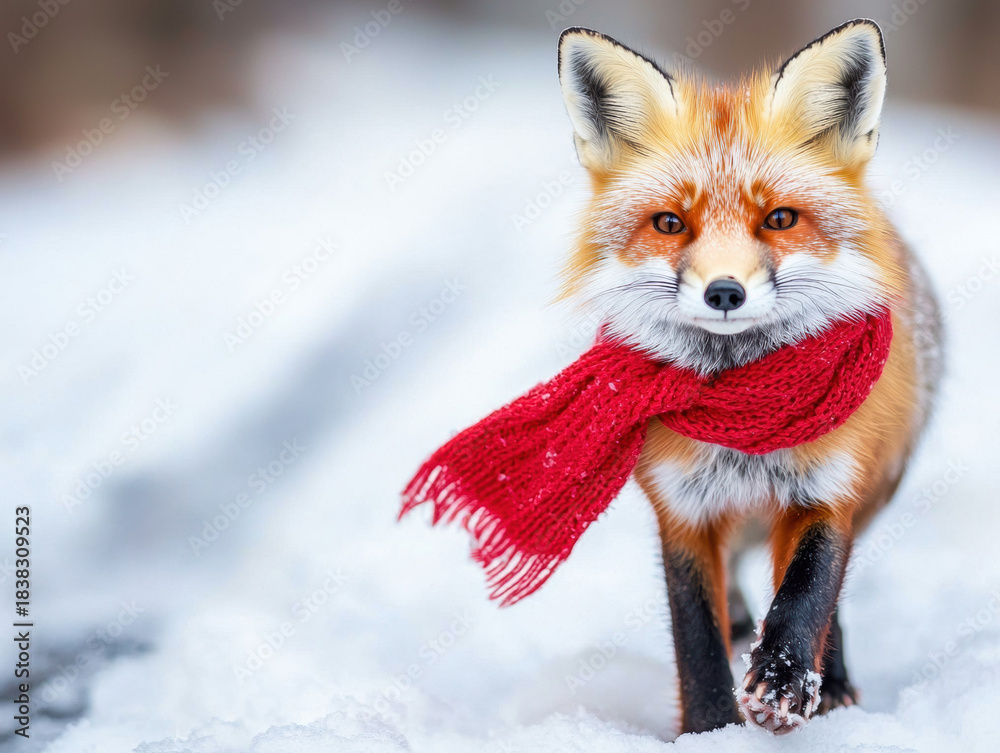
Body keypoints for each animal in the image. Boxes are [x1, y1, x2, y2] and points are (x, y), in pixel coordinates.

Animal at [556, 20, 942, 735]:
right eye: (670, 223)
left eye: (780, 218)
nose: (725, 292)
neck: (744, 421)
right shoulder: (681, 507)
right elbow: (696, 634)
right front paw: (710, 729)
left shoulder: (829, 485)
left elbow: (809, 591)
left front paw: (787, 679)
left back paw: (830, 683)